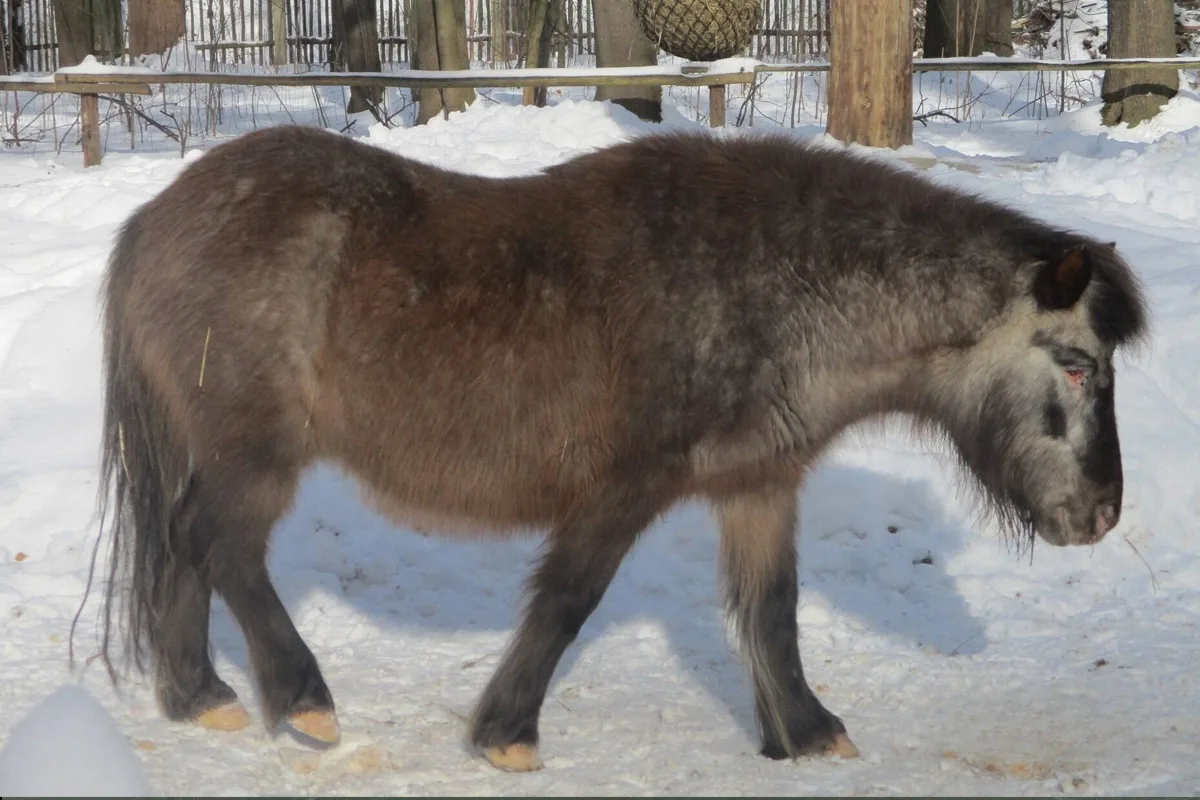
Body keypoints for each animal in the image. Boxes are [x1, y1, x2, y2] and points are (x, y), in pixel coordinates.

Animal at [90, 123, 1147, 771]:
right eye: (1077, 367)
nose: (1101, 516)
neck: (770, 286)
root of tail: (156, 218)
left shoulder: (760, 484)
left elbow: (772, 613)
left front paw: (804, 734)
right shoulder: (622, 488)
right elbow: (568, 601)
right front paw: (507, 733)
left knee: (182, 544)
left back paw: (198, 696)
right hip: (256, 452)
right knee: (222, 546)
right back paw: (300, 698)